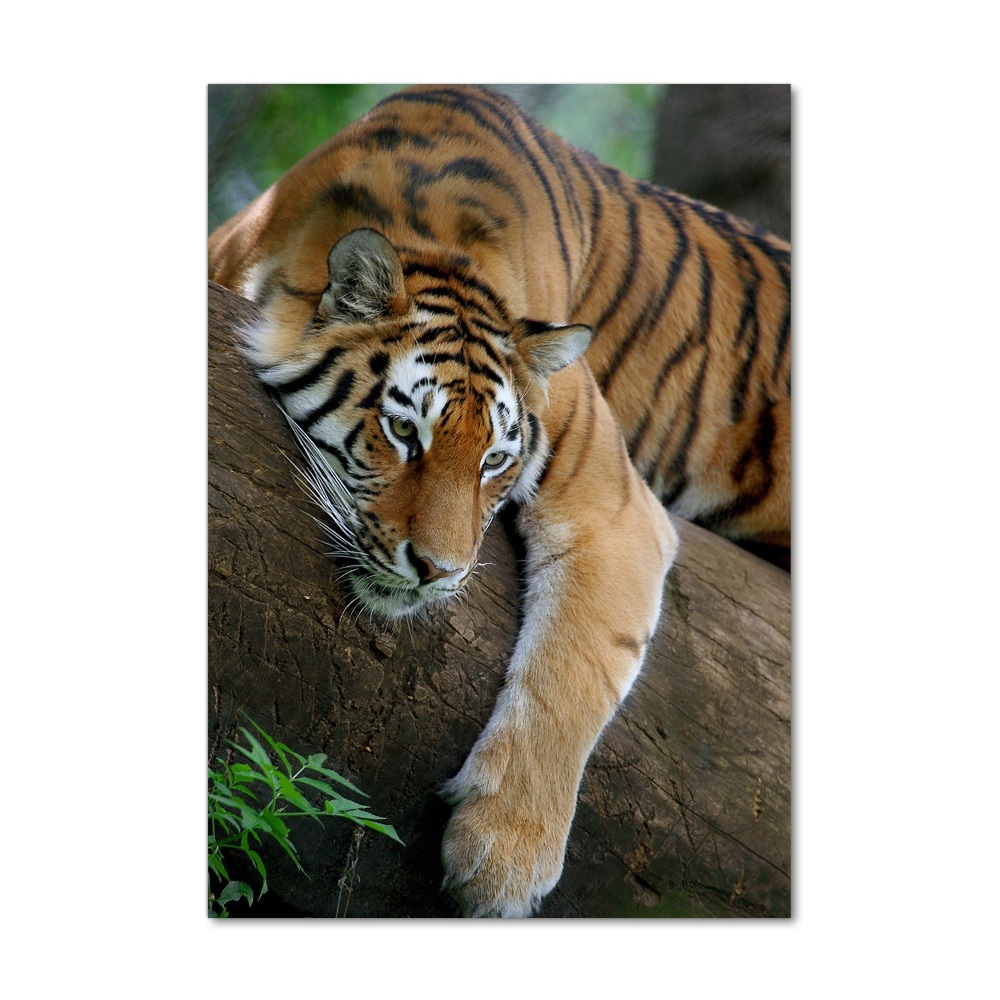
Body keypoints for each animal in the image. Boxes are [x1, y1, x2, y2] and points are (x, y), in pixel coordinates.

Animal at [209, 84, 788, 916]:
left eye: (493, 462)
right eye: (404, 432)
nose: (439, 572)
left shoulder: (616, 509)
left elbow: (573, 672)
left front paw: (502, 860)